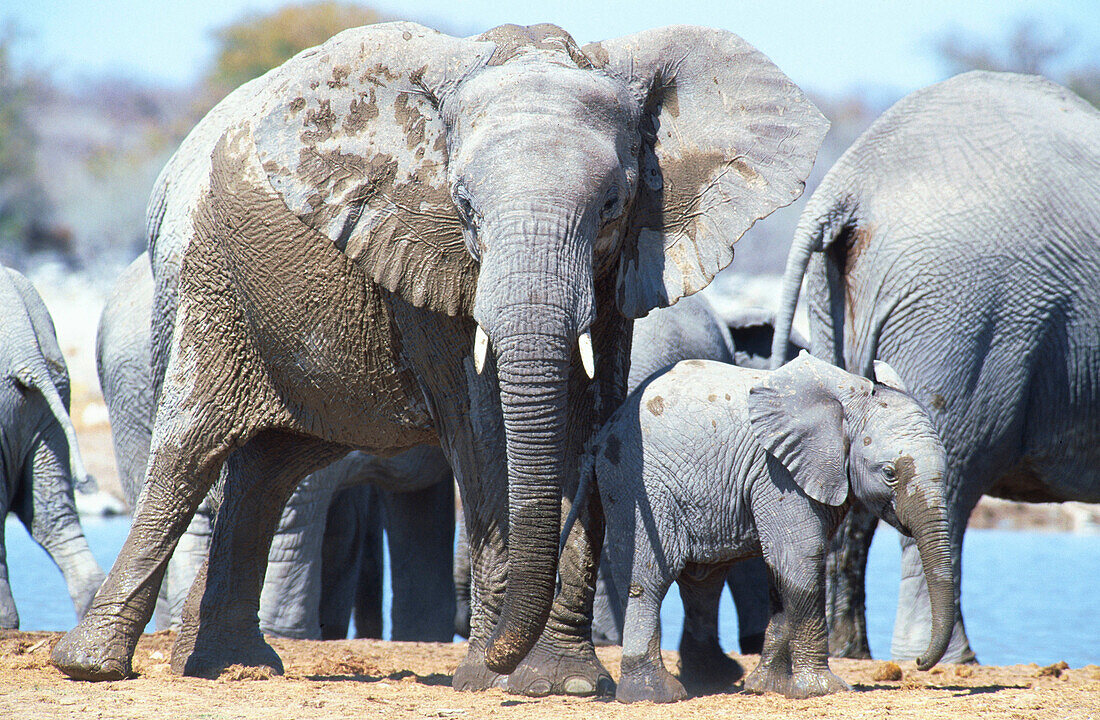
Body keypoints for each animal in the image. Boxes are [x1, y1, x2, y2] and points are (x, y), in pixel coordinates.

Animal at [585, 351, 954, 703]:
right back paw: (655, 695)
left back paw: (706, 679)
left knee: (703, 581)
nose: (919, 662)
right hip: (636, 481)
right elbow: (801, 558)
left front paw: (767, 686)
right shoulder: (778, 473)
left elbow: (780, 570)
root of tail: (607, 428)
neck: (852, 395)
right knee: (651, 577)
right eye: (890, 472)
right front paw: (823, 690)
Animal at [770, 72, 1100, 663]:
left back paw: (852, 652)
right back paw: (944, 659)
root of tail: (848, 185)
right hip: (968, 315)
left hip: (844, 303)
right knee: (954, 474)